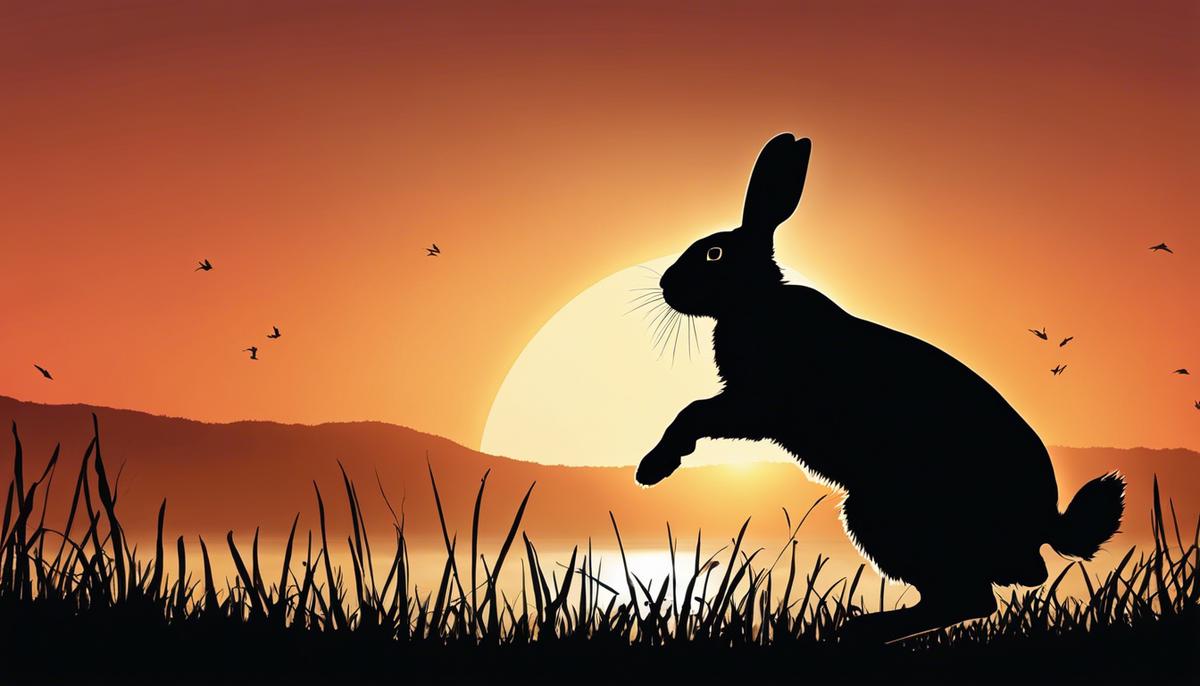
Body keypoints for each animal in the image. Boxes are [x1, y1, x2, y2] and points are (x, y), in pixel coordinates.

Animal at [635, 133, 1125, 642]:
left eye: (714, 254)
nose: (666, 285)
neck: (754, 301)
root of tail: (1044, 522)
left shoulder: (757, 403)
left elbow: (693, 411)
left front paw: (654, 468)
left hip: (887, 513)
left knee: (968, 597)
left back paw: (860, 630)